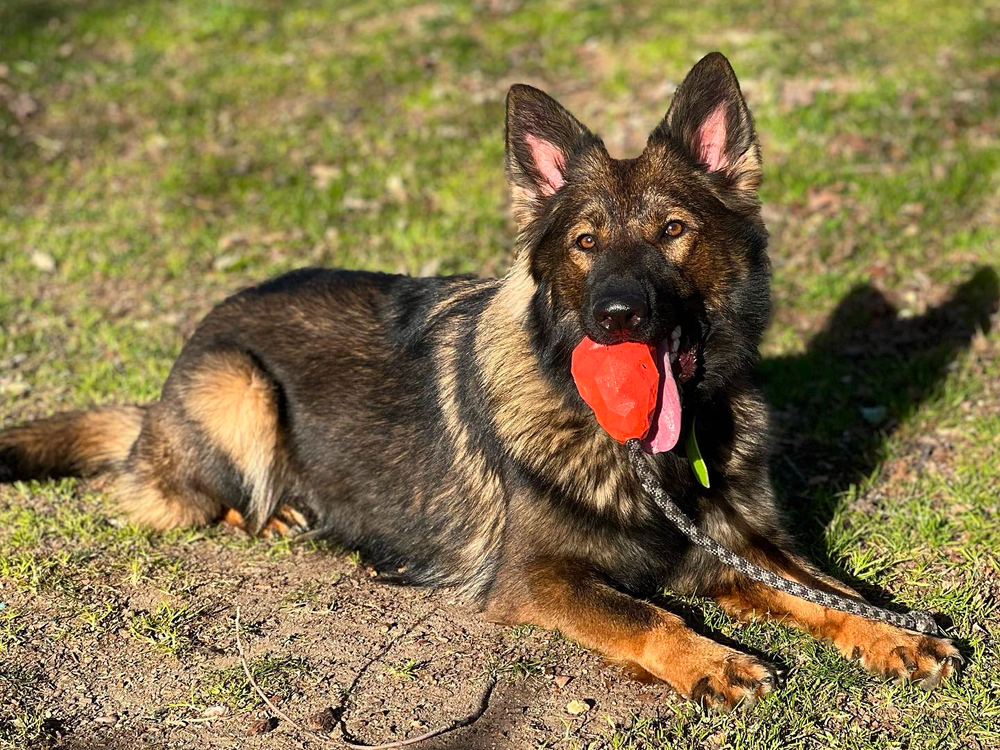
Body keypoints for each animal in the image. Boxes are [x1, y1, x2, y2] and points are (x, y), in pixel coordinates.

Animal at [3, 54, 964, 712]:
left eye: (673, 229)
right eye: (584, 242)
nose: (616, 314)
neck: (650, 451)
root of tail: (159, 402)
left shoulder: (738, 544)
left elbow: (826, 590)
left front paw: (889, 632)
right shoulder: (536, 580)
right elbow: (646, 616)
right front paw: (714, 659)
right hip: (238, 389)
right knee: (207, 494)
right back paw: (276, 511)